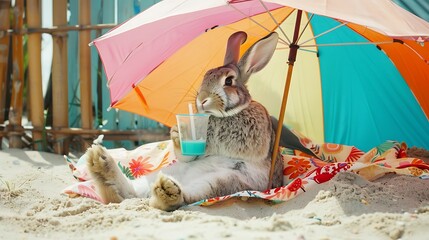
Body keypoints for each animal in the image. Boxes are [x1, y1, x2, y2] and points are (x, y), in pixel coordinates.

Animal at [85, 30, 282, 212]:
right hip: (165, 172)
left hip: (220, 182)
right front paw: (177, 133)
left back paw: (167, 192)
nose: (201, 99)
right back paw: (101, 163)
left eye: (228, 81)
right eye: (206, 76)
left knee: (182, 198)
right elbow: (187, 154)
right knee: (129, 194)